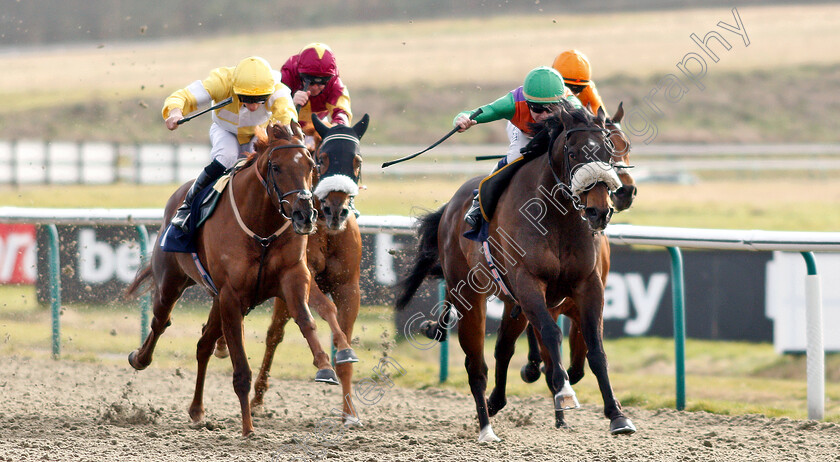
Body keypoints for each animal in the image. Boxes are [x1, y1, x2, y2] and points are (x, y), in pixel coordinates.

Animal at [122, 121, 352, 434]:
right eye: (276, 167)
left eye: (311, 165)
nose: (305, 215)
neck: (261, 227)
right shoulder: (232, 295)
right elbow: (241, 368)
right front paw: (247, 428)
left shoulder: (293, 275)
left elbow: (307, 318)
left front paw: (326, 365)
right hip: (172, 281)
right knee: (160, 321)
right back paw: (140, 358)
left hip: (217, 300)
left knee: (204, 344)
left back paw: (197, 409)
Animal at [398, 102, 632, 440]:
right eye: (573, 153)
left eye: (610, 150)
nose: (599, 210)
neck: (557, 219)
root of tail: (451, 207)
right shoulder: (528, 282)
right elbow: (550, 334)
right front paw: (563, 392)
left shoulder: (588, 286)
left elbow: (595, 348)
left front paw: (617, 415)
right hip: (471, 295)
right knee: (476, 365)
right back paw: (486, 428)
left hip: (514, 304)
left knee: (503, 349)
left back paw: (499, 403)